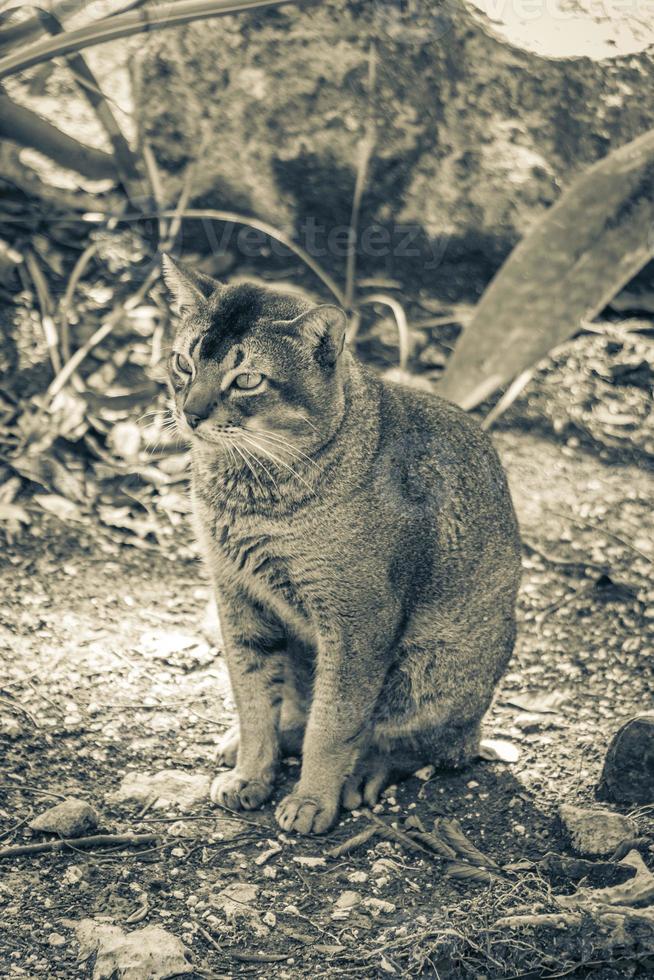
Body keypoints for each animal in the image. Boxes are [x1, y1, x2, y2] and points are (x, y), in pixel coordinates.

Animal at [161, 253, 520, 836]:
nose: (190, 412)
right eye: (183, 363)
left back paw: (363, 773)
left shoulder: (356, 621)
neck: (251, 495)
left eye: (248, 379)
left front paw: (312, 799)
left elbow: (333, 725)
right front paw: (251, 773)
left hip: (428, 667)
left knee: (427, 746)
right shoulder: (238, 596)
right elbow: (252, 700)